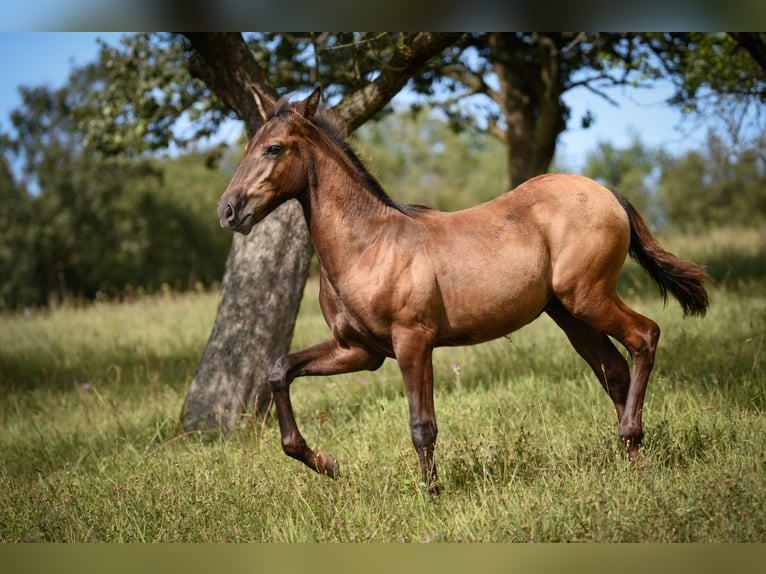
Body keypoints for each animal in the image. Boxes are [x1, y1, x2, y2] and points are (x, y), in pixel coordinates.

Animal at [216, 85, 708, 496]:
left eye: (274, 148)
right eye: (247, 146)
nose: (228, 211)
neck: (369, 244)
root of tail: (607, 194)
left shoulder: (413, 342)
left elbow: (422, 425)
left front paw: (432, 496)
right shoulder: (358, 350)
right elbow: (279, 370)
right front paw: (328, 463)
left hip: (589, 297)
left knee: (644, 336)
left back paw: (631, 438)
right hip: (569, 315)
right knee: (615, 370)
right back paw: (634, 462)